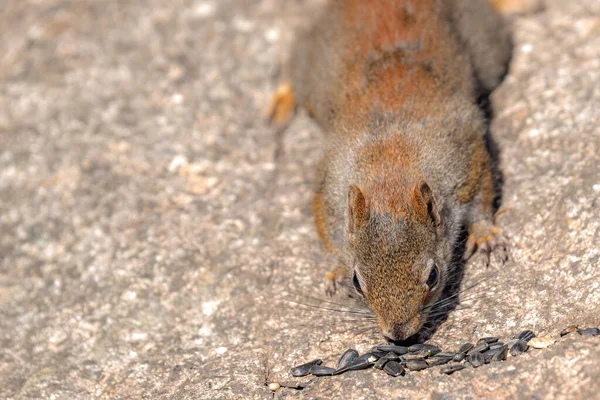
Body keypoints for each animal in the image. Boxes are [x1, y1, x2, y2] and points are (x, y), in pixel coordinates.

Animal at [268, 0, 540, 344]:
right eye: (357, 282)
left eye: (433, 276)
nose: (399, 335)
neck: (391, 175)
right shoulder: (329, 182)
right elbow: (327, 225)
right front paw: (336, 269)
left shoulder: (464, 156)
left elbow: (481, 194)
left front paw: (486, 234)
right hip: (313, 61)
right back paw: (281, 101)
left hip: (488, 46)